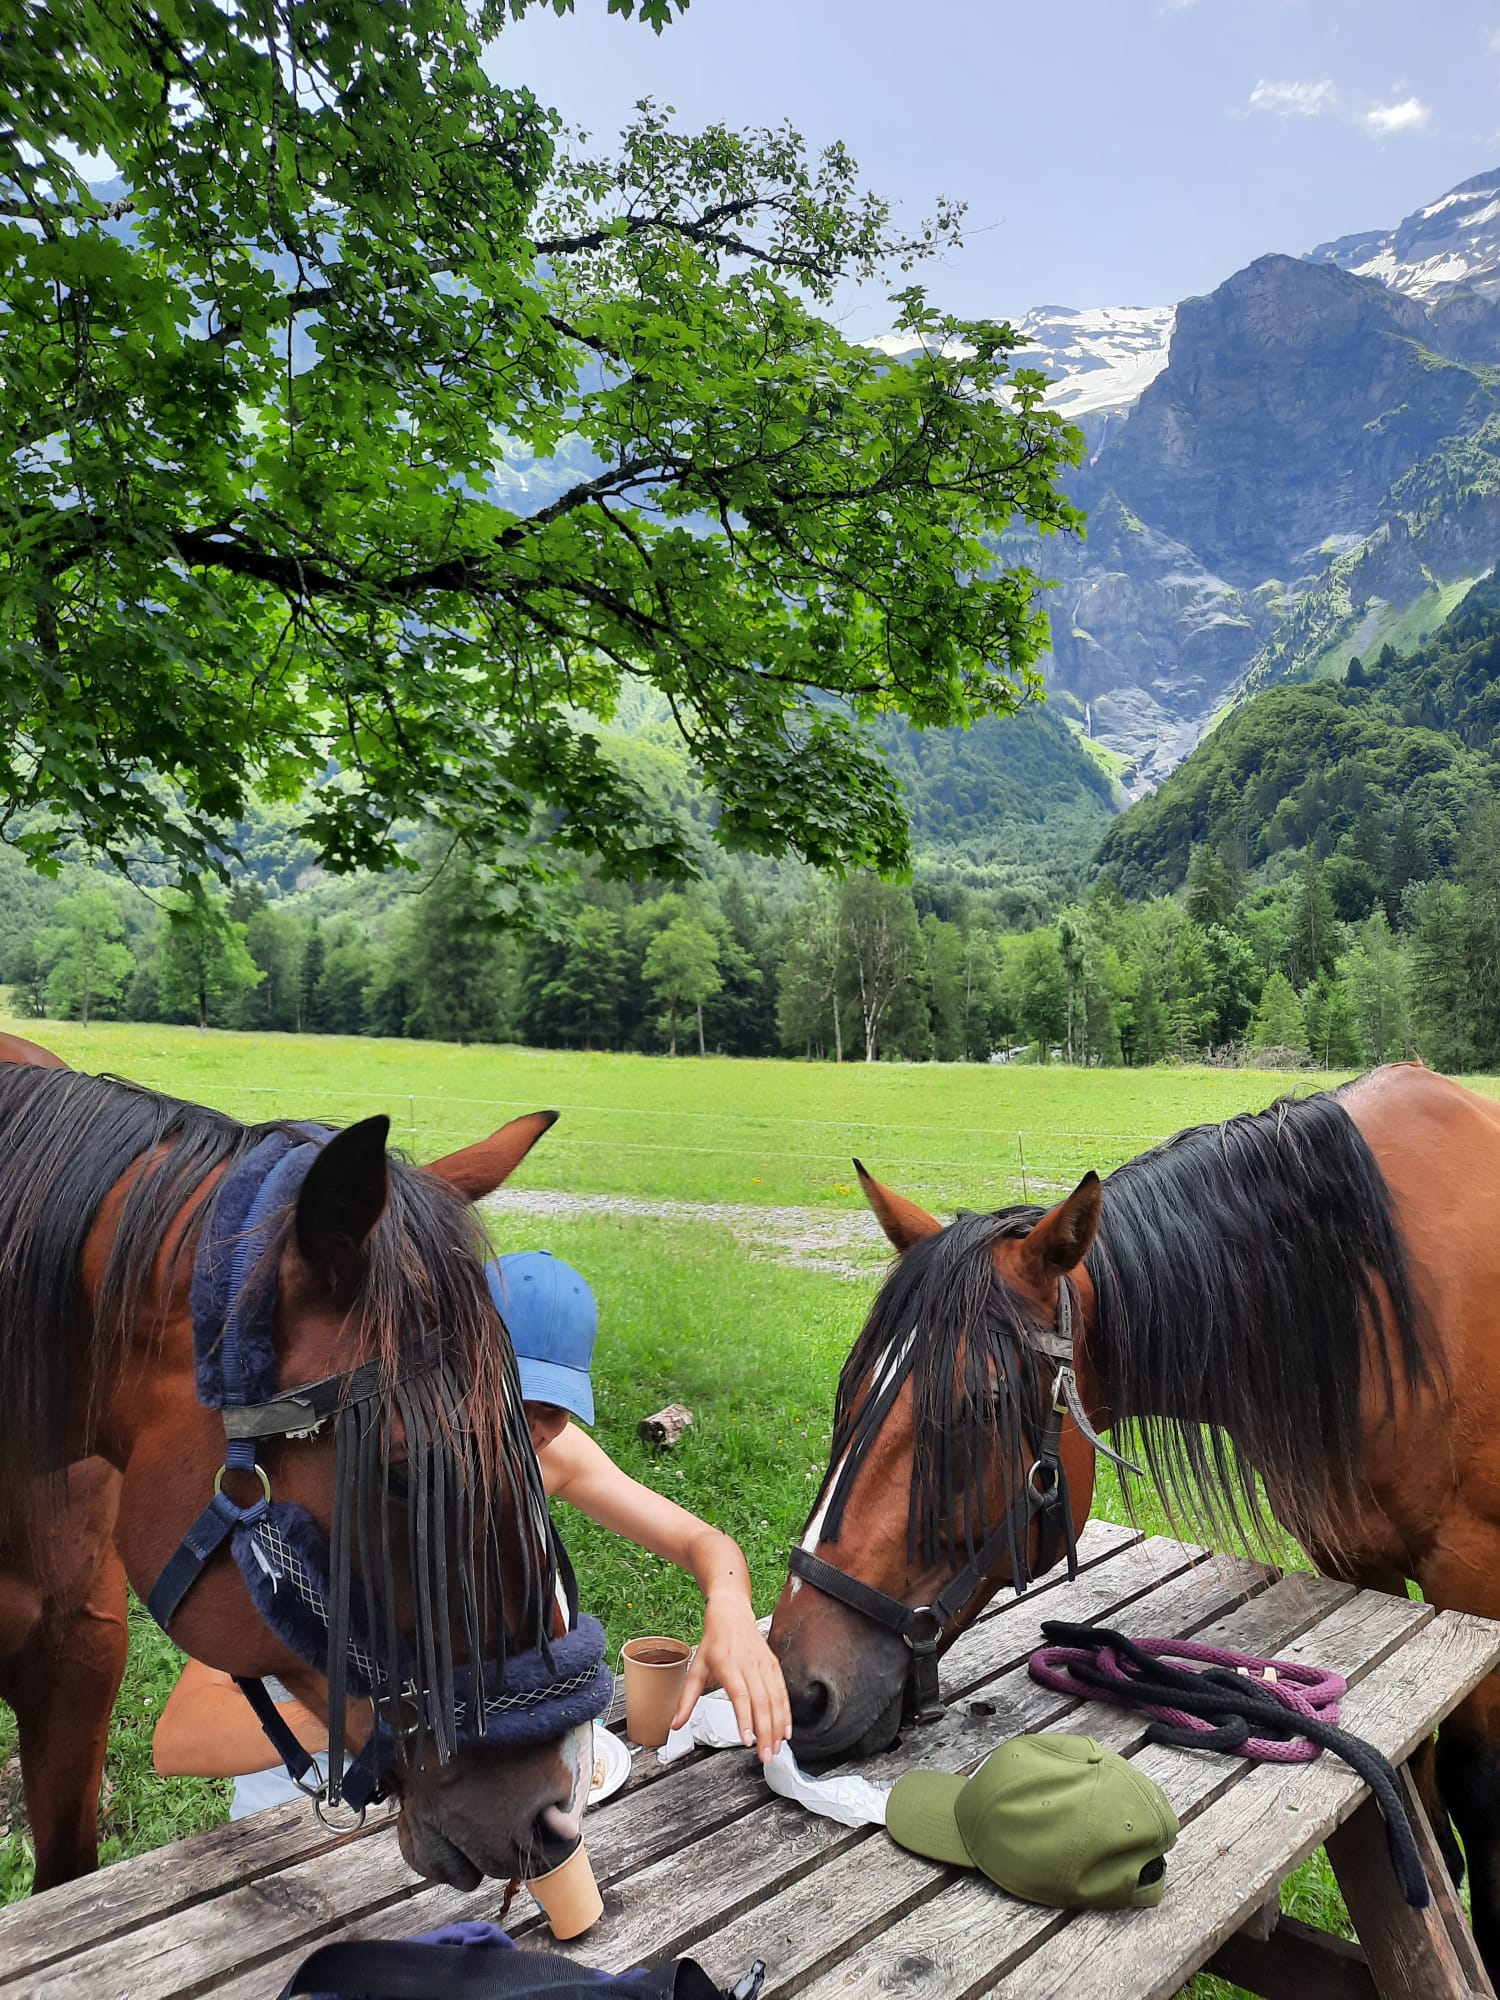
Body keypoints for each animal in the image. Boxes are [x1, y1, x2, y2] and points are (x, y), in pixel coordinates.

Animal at [768, 1062, 1500, 1973]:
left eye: (980, 1406)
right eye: (852, 1387)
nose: (797, 1685)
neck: (1376, 1304)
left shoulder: (1473, 1571)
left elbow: (1475, 1779)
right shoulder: (1359, 1561)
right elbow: (1422, 1775)